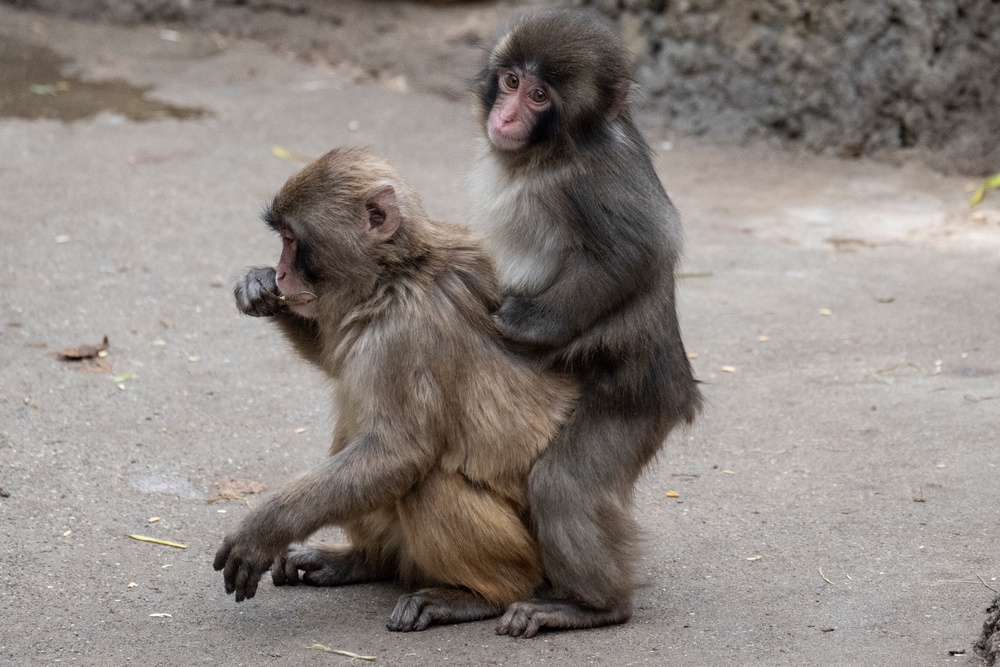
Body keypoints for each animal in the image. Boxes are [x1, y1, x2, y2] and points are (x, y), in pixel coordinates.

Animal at [213, 146, 578, 632]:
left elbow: (398, 453)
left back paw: (482, 595)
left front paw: (263, 529)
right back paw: (366, 561)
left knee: (424, 482)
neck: (394, 274)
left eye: (292, 239)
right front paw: (257, 284)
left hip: (522, 552)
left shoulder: (404, 331)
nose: (285, 272)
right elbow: (333, 357)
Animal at [467, 9, 703, 637]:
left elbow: (640, 249)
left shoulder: (592, 178)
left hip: (635, 405)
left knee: (564, 484)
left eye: (539, 95)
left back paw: (593, 607)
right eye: (510, 81)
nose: (505, 116)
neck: (550, 154)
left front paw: (526, 324)